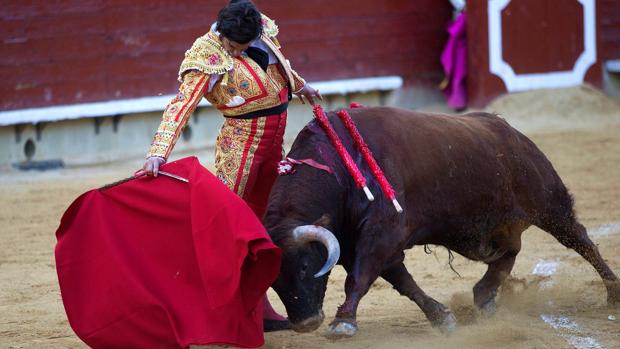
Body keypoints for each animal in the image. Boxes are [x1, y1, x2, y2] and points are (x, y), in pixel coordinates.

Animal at [262, 106, 620, 338]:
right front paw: (442, 318)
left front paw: (344, 322)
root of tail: (512, 132)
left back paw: (613, 291)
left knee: (581, 241)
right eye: (273, 281)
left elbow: (361, 277)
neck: (340, 168)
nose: (306, 323)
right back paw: (484, 298)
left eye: (305, 266)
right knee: (509, 252)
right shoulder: (358, 243)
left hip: (550, 204)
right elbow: (402, 281)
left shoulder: (382, 232)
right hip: (498, 226)